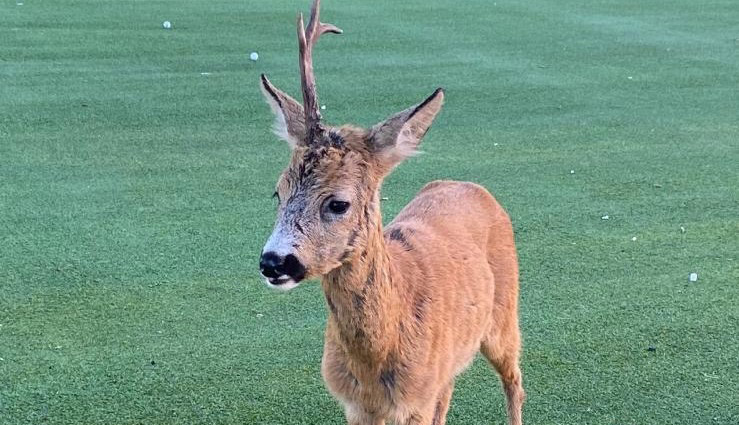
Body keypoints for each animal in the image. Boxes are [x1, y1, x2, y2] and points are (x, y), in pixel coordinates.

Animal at [260, 1, 528, 422]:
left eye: (338, 203)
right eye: (278, 192)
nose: (273, 261)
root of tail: (470, 186)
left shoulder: (415, 402)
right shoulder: (356, 405)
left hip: (505, 313)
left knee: (515, 381)